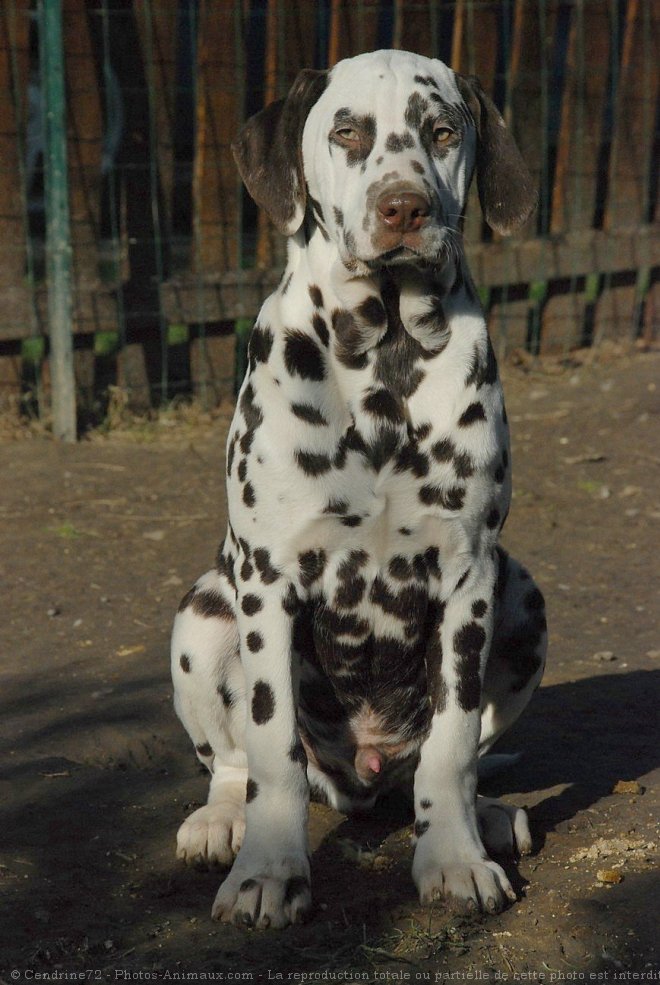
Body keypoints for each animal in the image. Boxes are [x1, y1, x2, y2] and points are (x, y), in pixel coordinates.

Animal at [170, 52, 548, 932]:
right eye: (348, 132)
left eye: (441, 131)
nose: (404, 205)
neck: (386, 357)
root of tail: (359, 781)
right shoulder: (270, 582)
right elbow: (272, 750)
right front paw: (269, 871)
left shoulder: (471, 579)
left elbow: (451, 747)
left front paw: (453, 858)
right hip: (202, 615)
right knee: (232, 761)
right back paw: (220, 821)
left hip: (524, 601)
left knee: (448, 763)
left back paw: (485, 817)